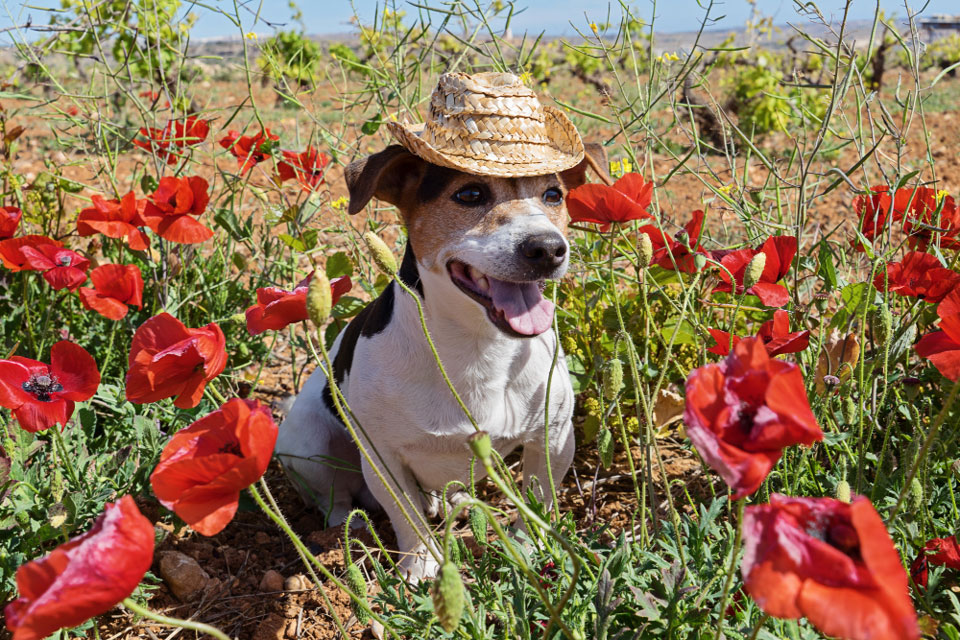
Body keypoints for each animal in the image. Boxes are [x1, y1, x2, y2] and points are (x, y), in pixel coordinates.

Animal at [278, 72, 604, 584]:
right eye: (470, 195)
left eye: (554, 195)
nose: (548, 248)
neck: (477, 348)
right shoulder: (383, 456)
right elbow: (405, 514)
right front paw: (421, 566)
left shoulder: (552, 438)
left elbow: (536, 501)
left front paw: (529, 551)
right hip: (306, 442)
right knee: (337, 501)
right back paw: (346, 535)